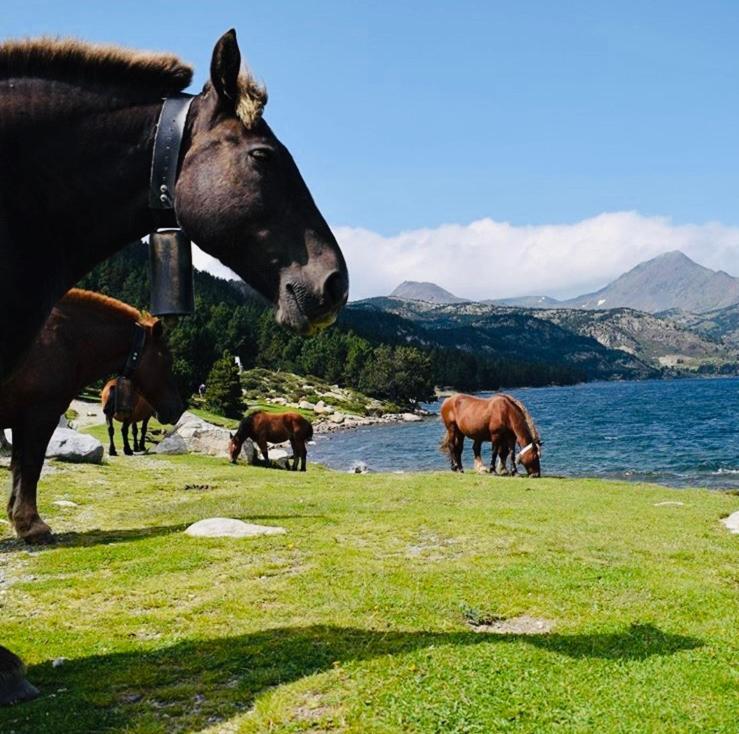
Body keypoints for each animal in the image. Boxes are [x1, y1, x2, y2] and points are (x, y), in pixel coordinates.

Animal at [0, 288, 184, 548]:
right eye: (167, 361)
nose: (178, 408)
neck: (59, 341)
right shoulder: (39, 417)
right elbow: (31, 468)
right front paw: (32, 526)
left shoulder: (21, 422)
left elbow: (18, 468)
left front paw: (19, 522)